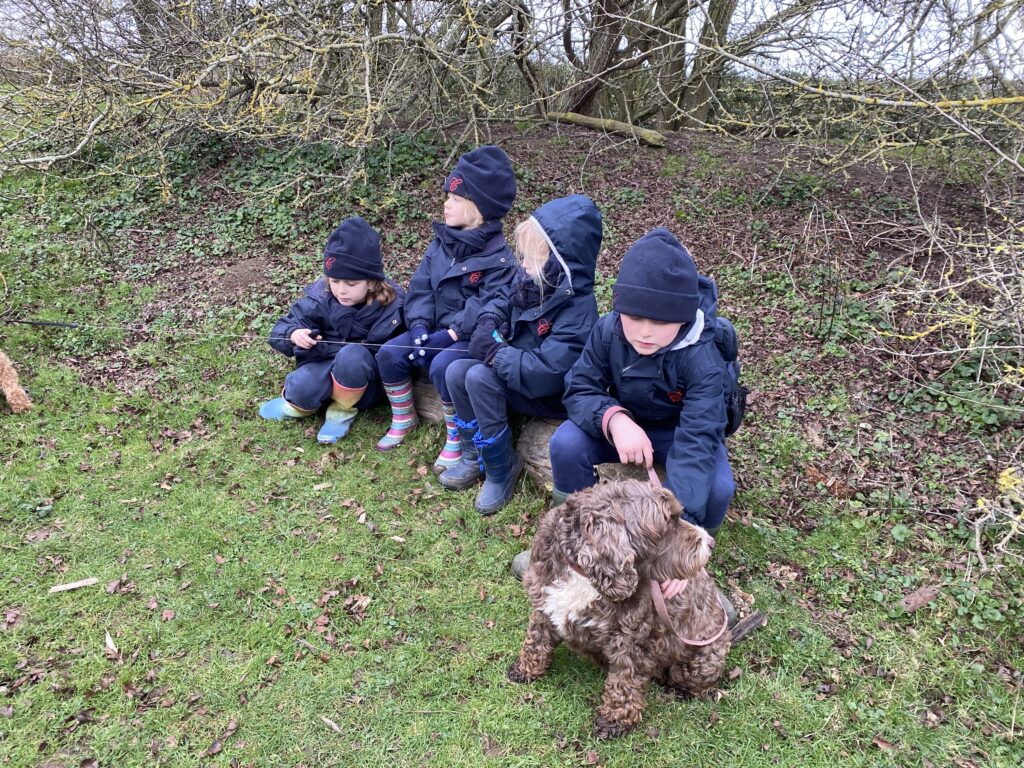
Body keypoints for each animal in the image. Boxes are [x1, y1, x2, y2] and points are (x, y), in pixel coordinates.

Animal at [507, 481, 741, 741]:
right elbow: (536, 640)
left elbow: (624, 682)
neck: (585, 574)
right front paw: (525, 669)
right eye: (667, 523)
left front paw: (615, 720)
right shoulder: (544, 604)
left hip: (702, 659)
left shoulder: (633, 639)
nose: (710, 542)